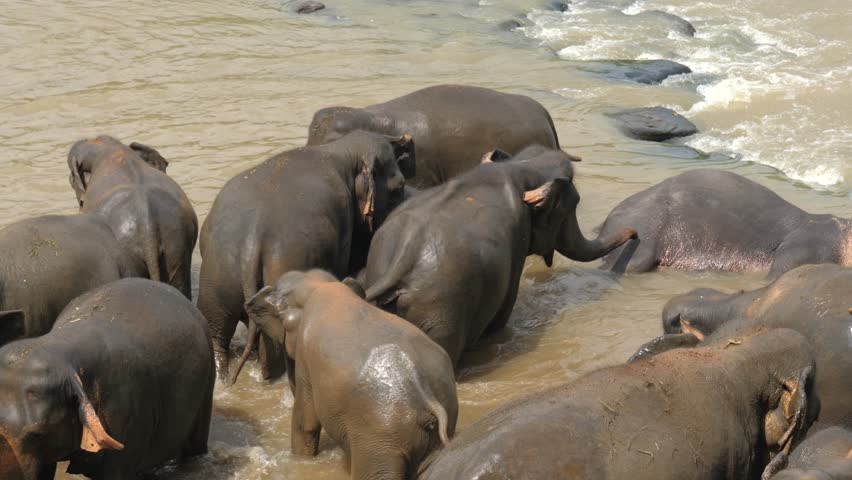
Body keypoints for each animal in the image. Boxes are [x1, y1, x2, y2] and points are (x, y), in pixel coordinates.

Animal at [198, 131, 415, 382]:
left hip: (216, 272)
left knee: (216, 331)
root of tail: (251, 241)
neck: (341, 150)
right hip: (280, 262)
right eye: (399, 187)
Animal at [360, 146, 636, 368]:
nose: (634, 234)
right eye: (574, 204)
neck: (522, 166)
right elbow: (503, 310)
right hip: (440, 310)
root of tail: (403, 256)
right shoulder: (517, 241)